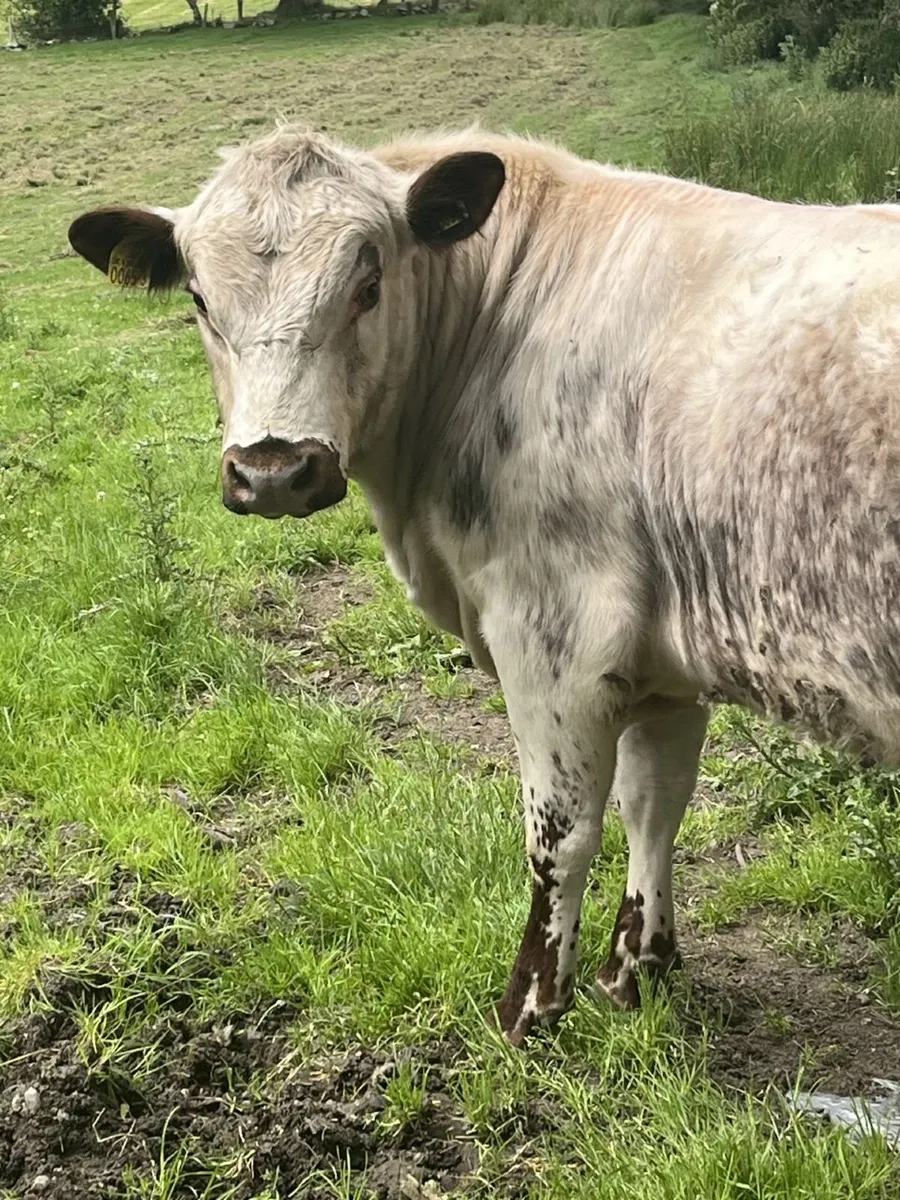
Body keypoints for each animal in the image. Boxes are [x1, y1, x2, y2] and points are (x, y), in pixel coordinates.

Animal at [67, 123, 900, 1046]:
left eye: (368, 286)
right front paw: (634, 975)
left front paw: (528, 1009)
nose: (274, 470)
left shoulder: (556, 636)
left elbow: (561, 836)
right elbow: (657, 804)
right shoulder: (668, 658)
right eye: (201, 301)